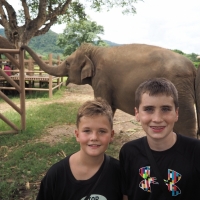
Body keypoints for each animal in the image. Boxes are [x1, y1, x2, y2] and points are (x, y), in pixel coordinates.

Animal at [20, 43, 200, 138]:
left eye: (68, 64)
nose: (21, 46)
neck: (94, 50)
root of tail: (194, 68)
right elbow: (109, 107)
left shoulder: (102, 79)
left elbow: (103, 103)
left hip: (179, 89)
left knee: (186, 123)